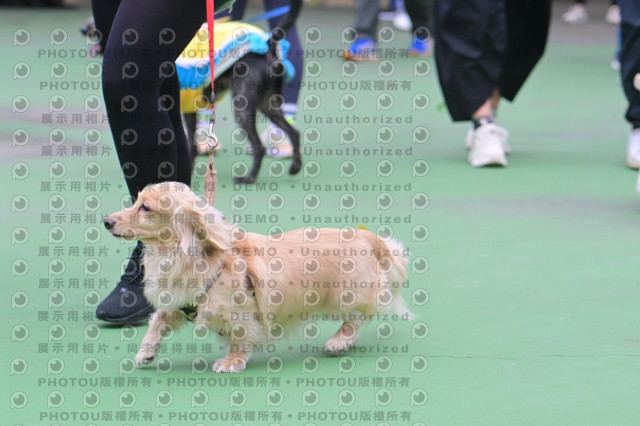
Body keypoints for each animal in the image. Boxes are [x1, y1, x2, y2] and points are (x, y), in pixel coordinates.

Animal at [103, 182, 413, 373]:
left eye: (146, 208)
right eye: (136, 202)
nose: (106, 221)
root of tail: (364, 235)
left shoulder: (240, 313)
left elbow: (241, 337)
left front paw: (232, 361)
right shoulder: (181, 303)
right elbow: (158, 321)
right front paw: (146, 352)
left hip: (345, 295)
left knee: (358, 317)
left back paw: (339, 341)